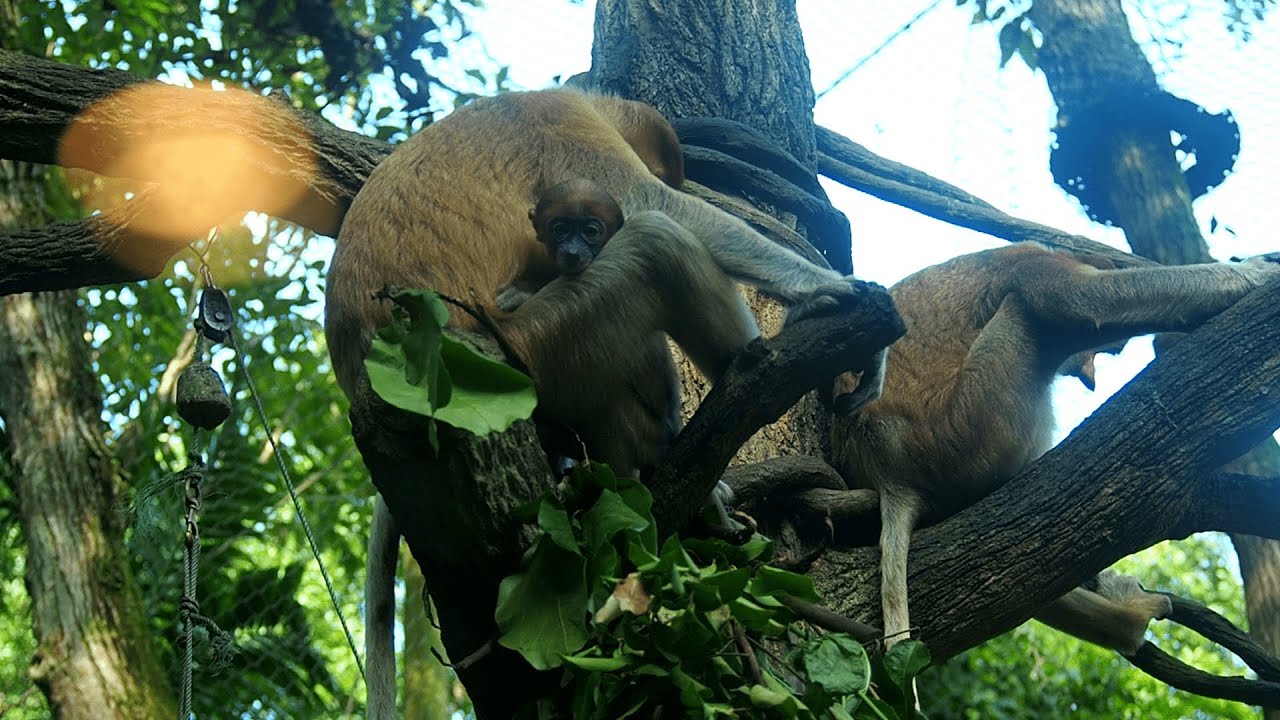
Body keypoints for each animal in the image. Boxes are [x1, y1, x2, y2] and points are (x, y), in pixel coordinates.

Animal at [328, 89, 866, 719]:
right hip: (540, 348)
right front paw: (824, 287)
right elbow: (661, 207)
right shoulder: (562, 123)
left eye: (589, 227)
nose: (578, 246)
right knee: (657, 241)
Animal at [828, 243, 1280, 653]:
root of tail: (889, 471)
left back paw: (1125, 621)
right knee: (1027, 313)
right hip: (968, 425)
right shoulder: (1029, 260)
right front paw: (1258, 272)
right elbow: (1076, 298)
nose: (1091, 373)